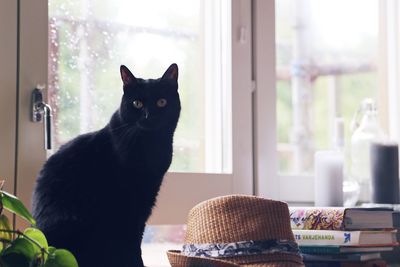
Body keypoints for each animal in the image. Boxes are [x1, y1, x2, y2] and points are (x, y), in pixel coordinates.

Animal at [32, 63, 180, 266]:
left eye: (162, 102)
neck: (151, 146)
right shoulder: (128, 201)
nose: (149, 116)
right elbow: (132, 243)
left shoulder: (147, 196)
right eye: (137, 104)